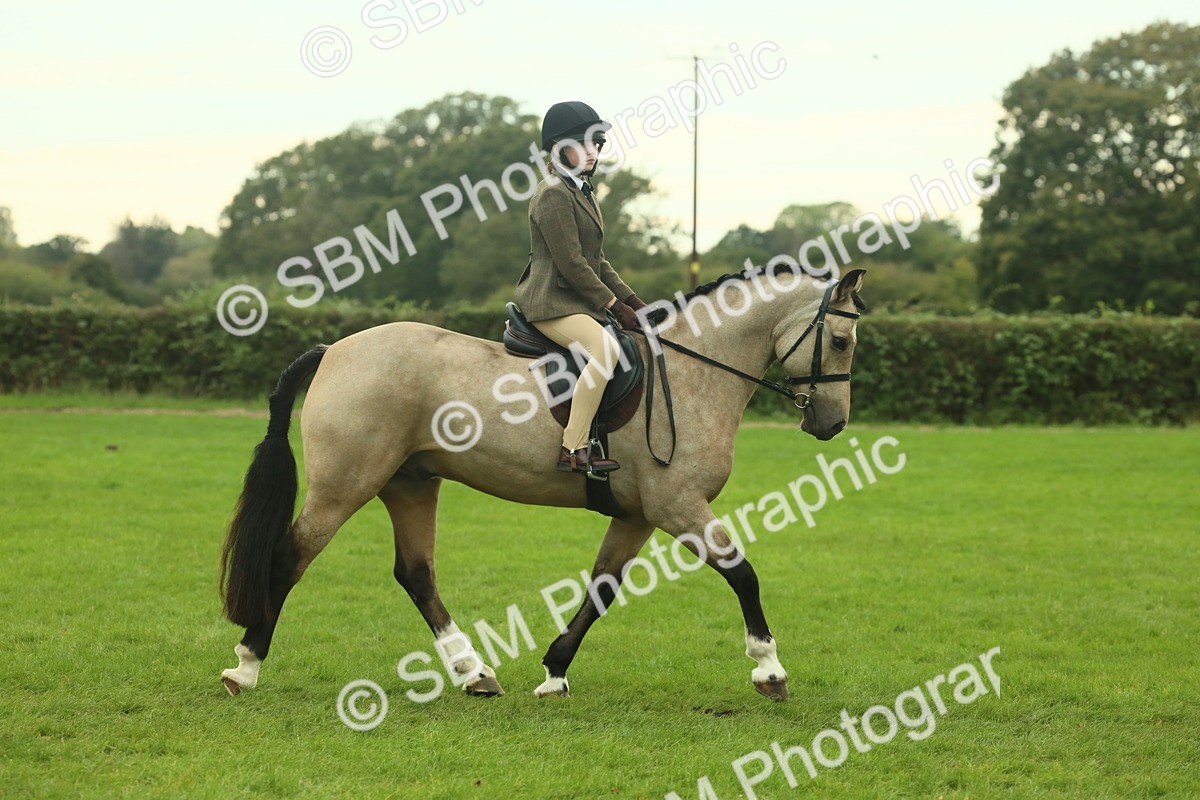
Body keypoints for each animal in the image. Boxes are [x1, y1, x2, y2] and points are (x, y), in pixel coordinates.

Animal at [219, 265, 866, 701]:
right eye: (839, 341)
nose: (831, 423)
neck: (693, 371)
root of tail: (334, 350)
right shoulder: (677, 505)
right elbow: (743, 573)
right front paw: (769, 669)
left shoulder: (637, 515)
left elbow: (602, 588)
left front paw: (555, 671)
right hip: (345, 484)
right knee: (292, 557)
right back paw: (245, 666)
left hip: (410, 482)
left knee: (416, 574)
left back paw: (475, 672)